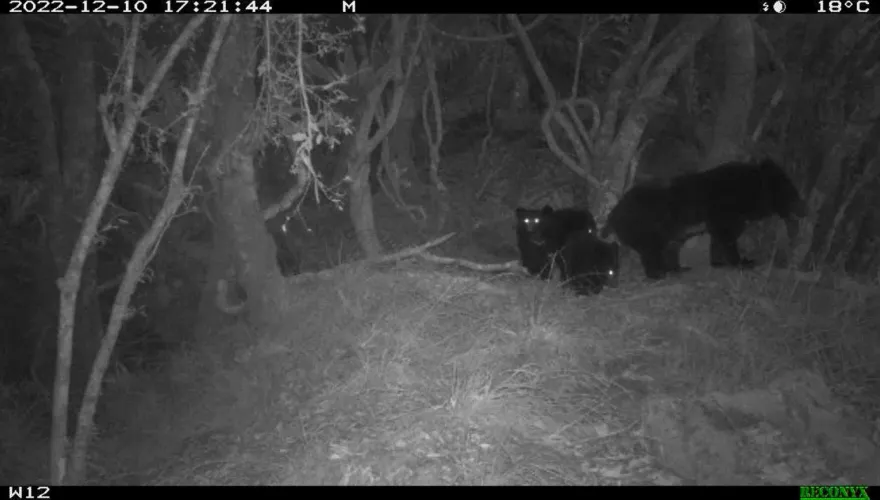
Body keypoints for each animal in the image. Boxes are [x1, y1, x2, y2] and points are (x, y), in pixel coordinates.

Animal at [601, 158, 806, 280]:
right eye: (792, 194)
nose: (804, 210)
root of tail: (614, 213)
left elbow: (718, 238)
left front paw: (719, 263)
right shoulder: (725, 210)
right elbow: (726, 236)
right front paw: (743, 262)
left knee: (669, 248)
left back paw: (677, 269)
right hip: (646, 225)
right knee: (652, 250)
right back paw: (659, 273)